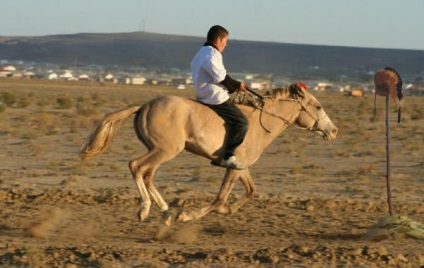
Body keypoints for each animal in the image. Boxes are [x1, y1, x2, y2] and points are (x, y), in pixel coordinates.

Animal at [79, 83, 338, 224]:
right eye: (318, 107)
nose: (333, 131)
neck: (260, 123)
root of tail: (144, 106)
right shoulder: (233, 166)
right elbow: (220, 198)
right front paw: (187, 216)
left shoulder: (241, 166)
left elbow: (251, 191)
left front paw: (226, 210)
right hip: (165, 150)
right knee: (136, 166)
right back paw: (146, 210)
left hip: (158, 150)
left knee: (147, 174)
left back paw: (165, 211)